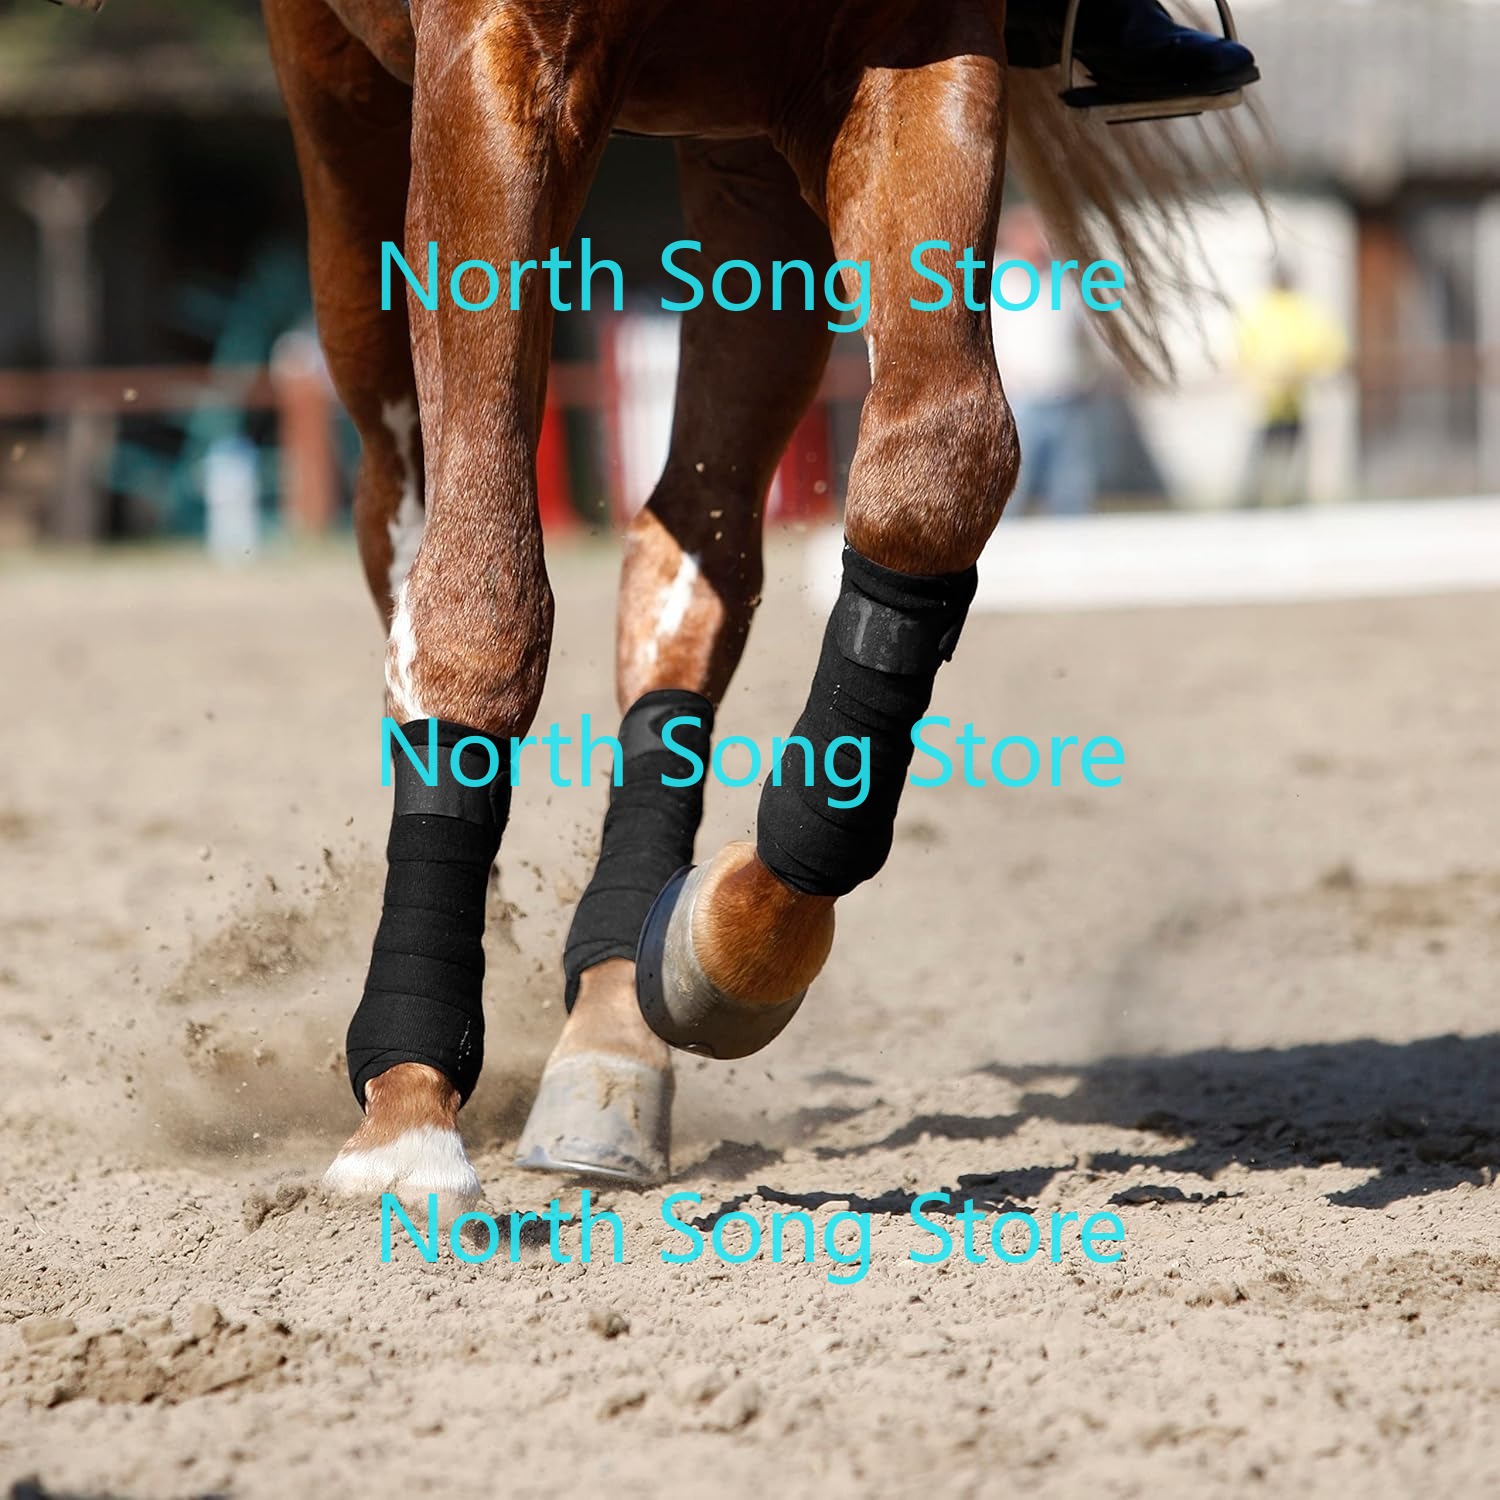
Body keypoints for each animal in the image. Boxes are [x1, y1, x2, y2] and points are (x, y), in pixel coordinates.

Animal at [252, 0, 1249, 1210]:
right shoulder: (491, 66)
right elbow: (480, 599)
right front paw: (405, 1118)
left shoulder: (909, 58)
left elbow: (941, 464)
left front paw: (724, 945)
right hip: (343, 117)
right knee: (403, 512)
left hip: (742, 161)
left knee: (694, 540)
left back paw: (613, 1036)